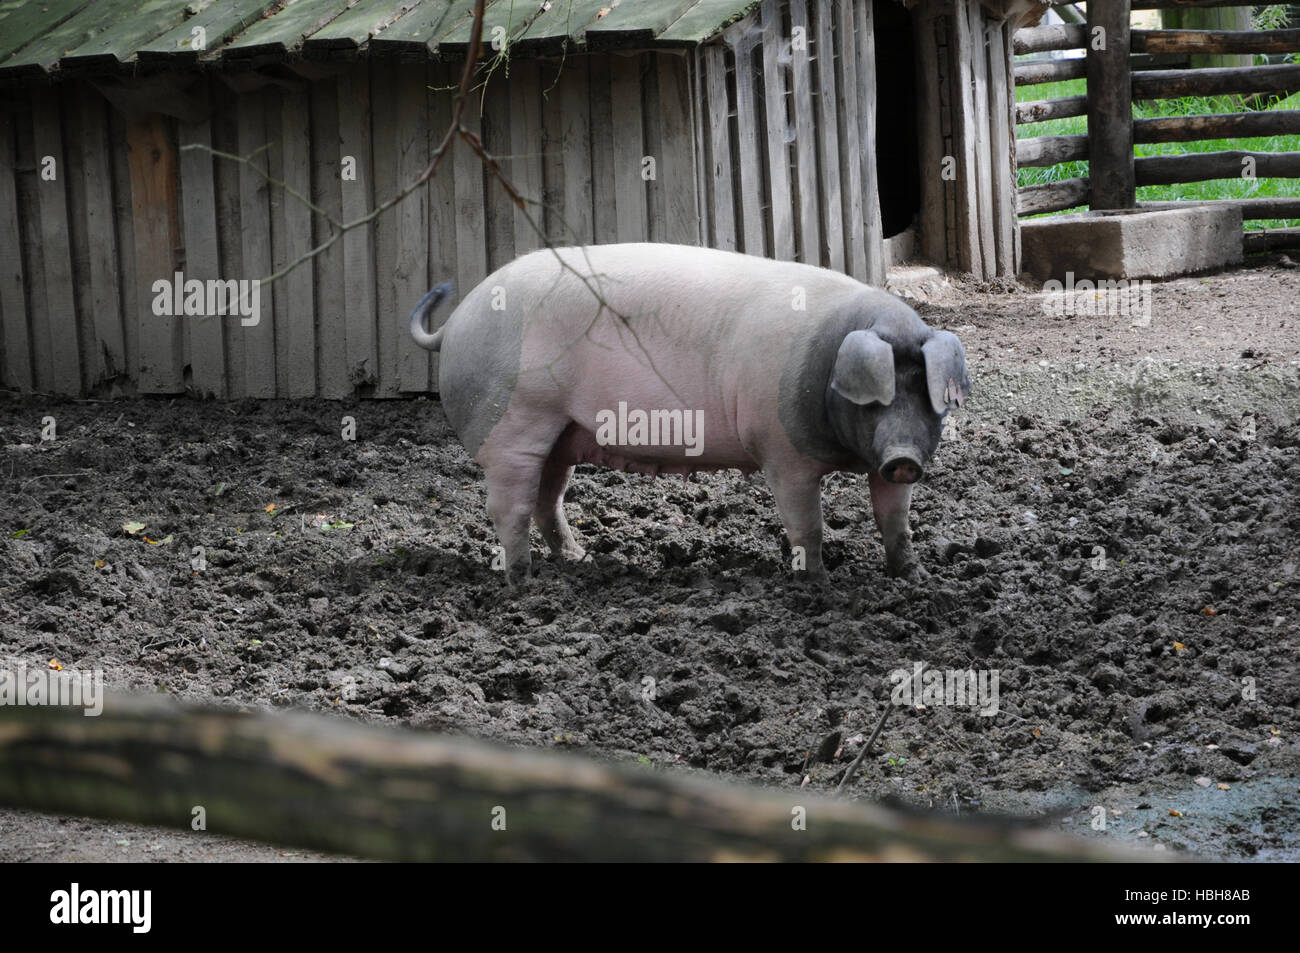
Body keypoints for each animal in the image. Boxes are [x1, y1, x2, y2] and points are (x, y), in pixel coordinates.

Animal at [405, 241, 967, 579]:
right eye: (877, 398)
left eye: (926, 398)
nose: (904, 458)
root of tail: (455, 321)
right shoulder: (780, 451)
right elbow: (806, 523)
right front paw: (819, 582)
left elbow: (895, 520)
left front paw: (913, 577)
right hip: (515, 423)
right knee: (509, 506)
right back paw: (522, 581)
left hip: (561, 434)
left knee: (548, 500)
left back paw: (579, 558)